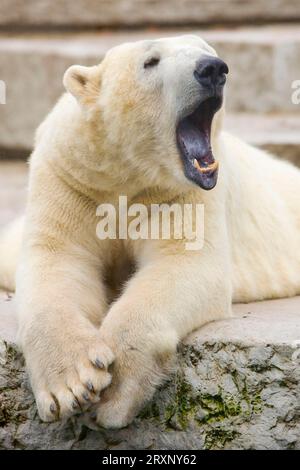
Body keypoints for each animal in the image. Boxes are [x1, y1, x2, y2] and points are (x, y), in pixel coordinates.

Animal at [0, 35, 300, 428]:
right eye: (151, 61)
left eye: (209, 49)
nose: (212, 69)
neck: (127, 173)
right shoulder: (69, 177)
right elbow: (57, 260)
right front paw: (73, 385)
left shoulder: (178, 194)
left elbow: (184, 264)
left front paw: (114, 392)